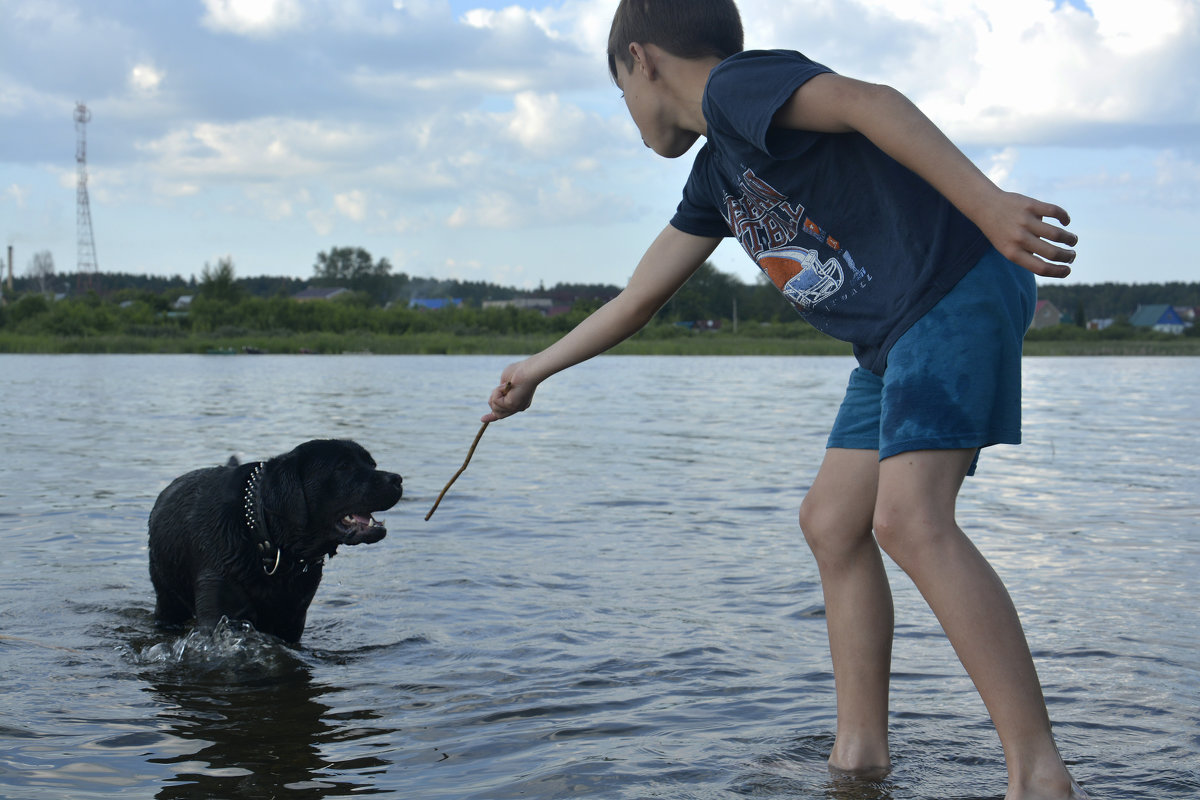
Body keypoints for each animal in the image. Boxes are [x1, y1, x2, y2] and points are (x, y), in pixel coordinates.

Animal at [148, 441, 403, 642]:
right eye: (343, 466)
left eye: (372, 464)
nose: (398, 479)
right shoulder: (221, 616)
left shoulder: (293, 618)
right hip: (168, 599)